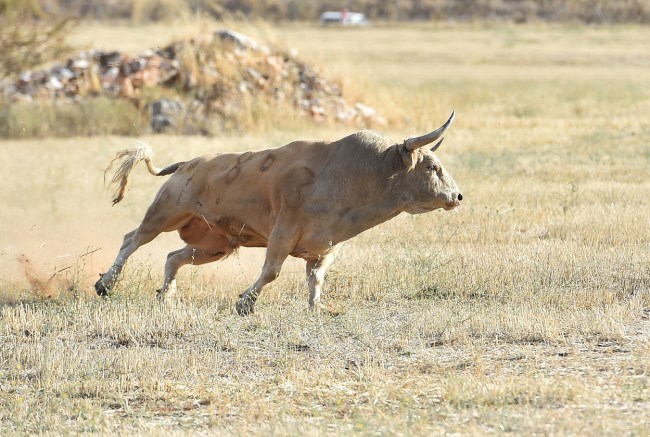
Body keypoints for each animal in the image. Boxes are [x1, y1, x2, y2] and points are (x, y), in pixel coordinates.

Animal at [96, 112, 462, 315]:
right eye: (431, 166)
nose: (457, 196)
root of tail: (187, 164)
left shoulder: (326, 247)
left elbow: (316, 278)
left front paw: (316, 307)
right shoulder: (282, 233)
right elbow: (271, 271)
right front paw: (245, 302)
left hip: (215, 244)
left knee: (174, 256)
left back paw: (166, 296)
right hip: (164, 213)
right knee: (132, 239)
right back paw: (106, 283)